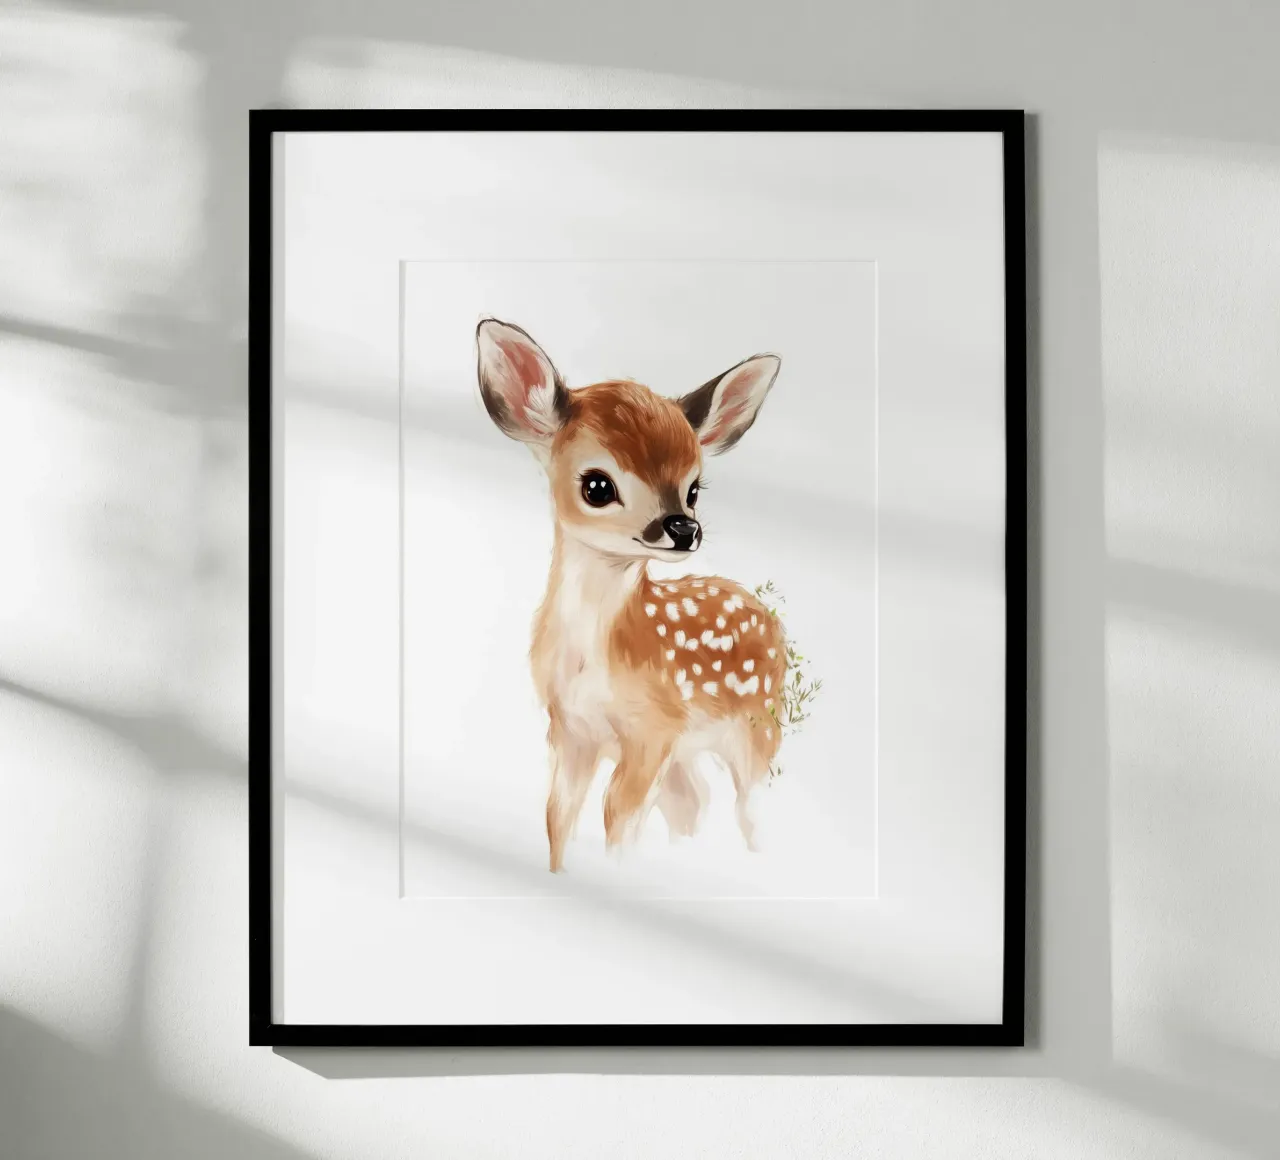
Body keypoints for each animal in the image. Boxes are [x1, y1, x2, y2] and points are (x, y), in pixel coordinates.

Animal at [475, 318, 789, 872]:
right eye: (597, 486)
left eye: (694, 489)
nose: (683, 528)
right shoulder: (570, 730)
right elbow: (558, 818)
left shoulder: (653, 729)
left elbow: (616, 819)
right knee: (694, 802)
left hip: (758, 727)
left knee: (751, 810)